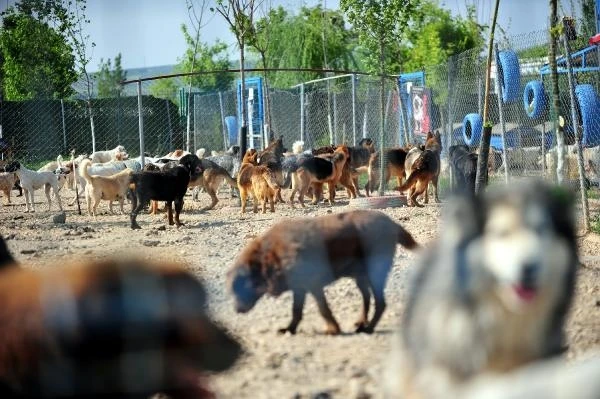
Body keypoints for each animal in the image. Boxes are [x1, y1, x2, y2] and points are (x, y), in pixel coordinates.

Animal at [227, 211, 420, 336]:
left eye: (239, 288)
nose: (236, 310)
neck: (268, 256)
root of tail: (392, 223)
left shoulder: (313, 285)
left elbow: (323, 309)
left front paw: (333, 329)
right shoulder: (300, 288)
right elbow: (296, 311)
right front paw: (290, 329)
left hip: (374, 273)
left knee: (380, 303)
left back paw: (369, 328)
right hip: (361, 277)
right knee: (367, 298)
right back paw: (361, 322)